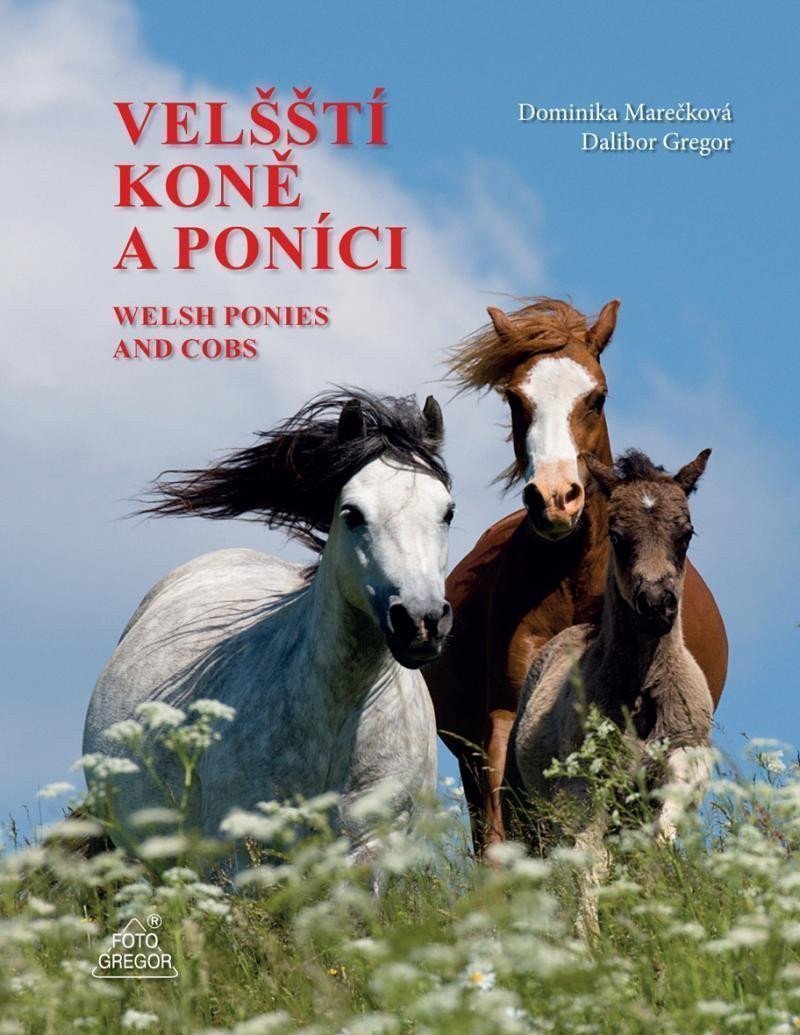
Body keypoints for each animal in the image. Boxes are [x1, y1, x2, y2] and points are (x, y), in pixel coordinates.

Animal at [83, 390, 455, 862]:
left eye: (447, 512)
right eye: (352, 513)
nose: (421, 621)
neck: (340, 713)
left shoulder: (370, 847)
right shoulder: (246, 855)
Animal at [507, 447, 714, 853]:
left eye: (686, 534)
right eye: (617, 537)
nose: (656, 604)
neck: (643, 692)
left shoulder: (684, 758)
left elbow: (662, 830)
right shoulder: (584, 784)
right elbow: (590, 854)